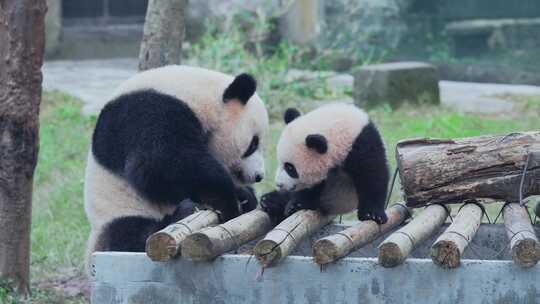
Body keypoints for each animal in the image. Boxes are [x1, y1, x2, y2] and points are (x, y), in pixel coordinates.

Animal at [84, 64, 268, 262]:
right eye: (253, 144)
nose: (259, 176)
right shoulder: (147, 111)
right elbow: (157, 164)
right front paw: (227, 201)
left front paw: (245, 196)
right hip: (118, 210)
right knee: (131, 235)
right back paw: (185, 211)